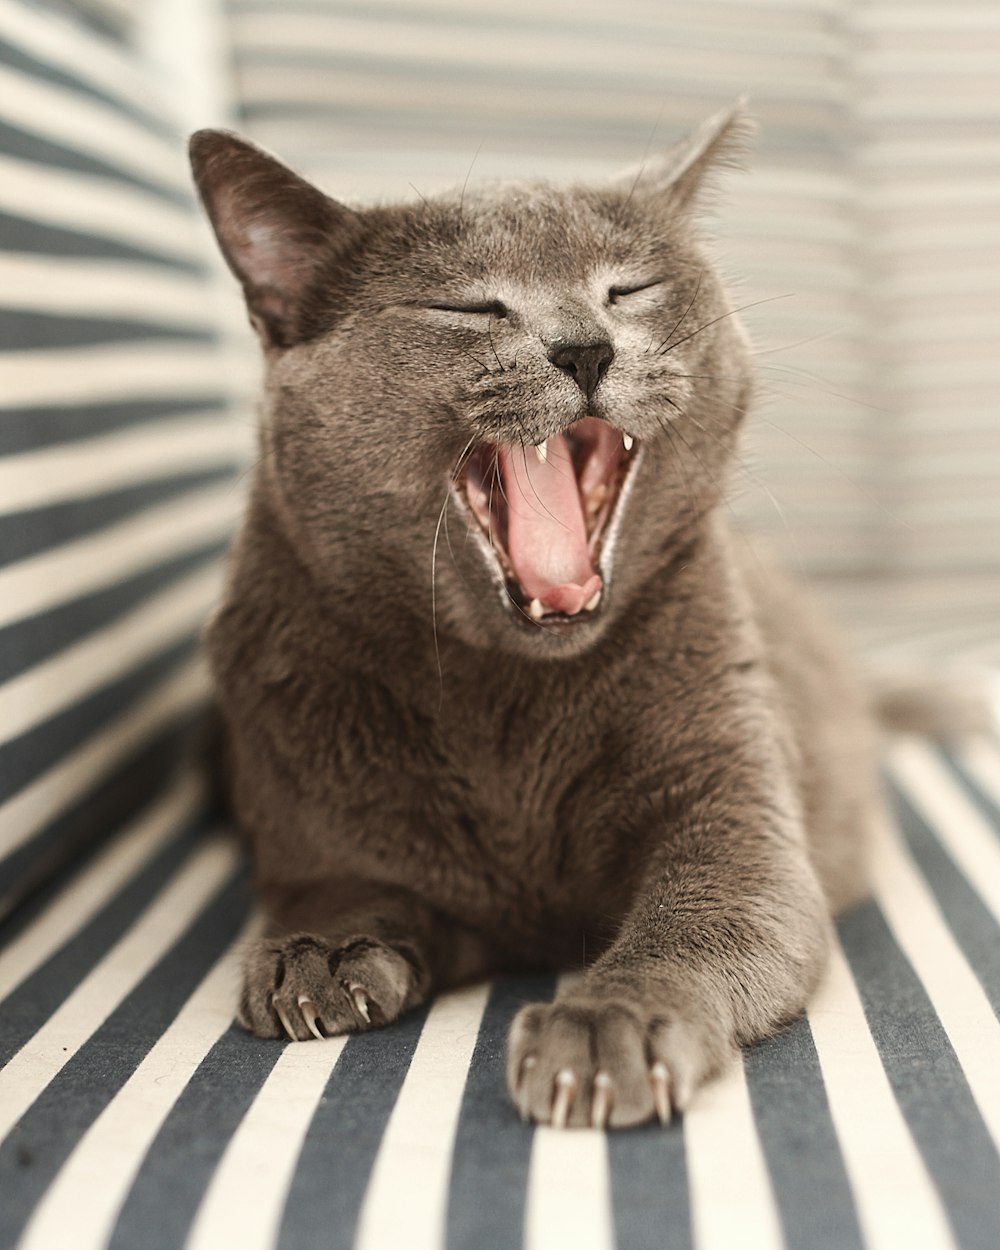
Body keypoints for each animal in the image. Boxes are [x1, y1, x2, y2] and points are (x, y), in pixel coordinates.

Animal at [191, 102, 880, 1130]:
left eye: (629, 288)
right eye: (468, 308)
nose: (586, 346)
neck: (508, 697)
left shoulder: (731, 799)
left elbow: (702, 917)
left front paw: (602, 1029)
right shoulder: (311, 818)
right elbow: (342, 884)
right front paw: (318, 953)